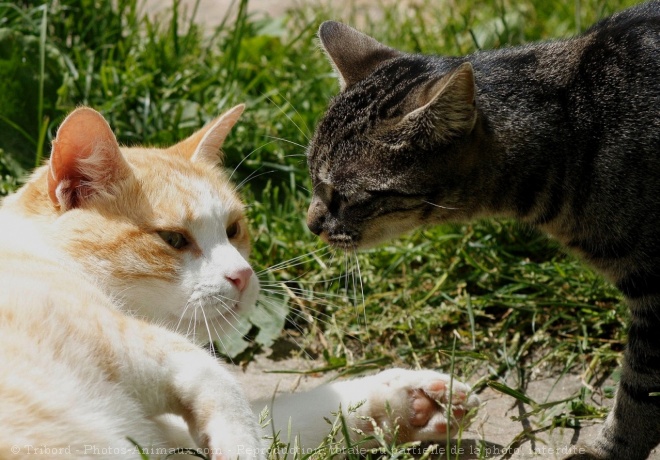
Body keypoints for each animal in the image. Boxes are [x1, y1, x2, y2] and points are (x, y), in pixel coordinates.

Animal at [0, 106, 476, 458]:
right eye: (173, 239)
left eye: (233, 230)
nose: (243, 275)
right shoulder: (120, 334)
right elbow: (217, 377)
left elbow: (283, 419)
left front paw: (405, 402)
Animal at [306, 3, 660, 460]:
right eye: (312, 178)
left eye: (344, 196)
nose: (310, 223)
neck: (575, 137)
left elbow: (639, 393)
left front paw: (607, 451)